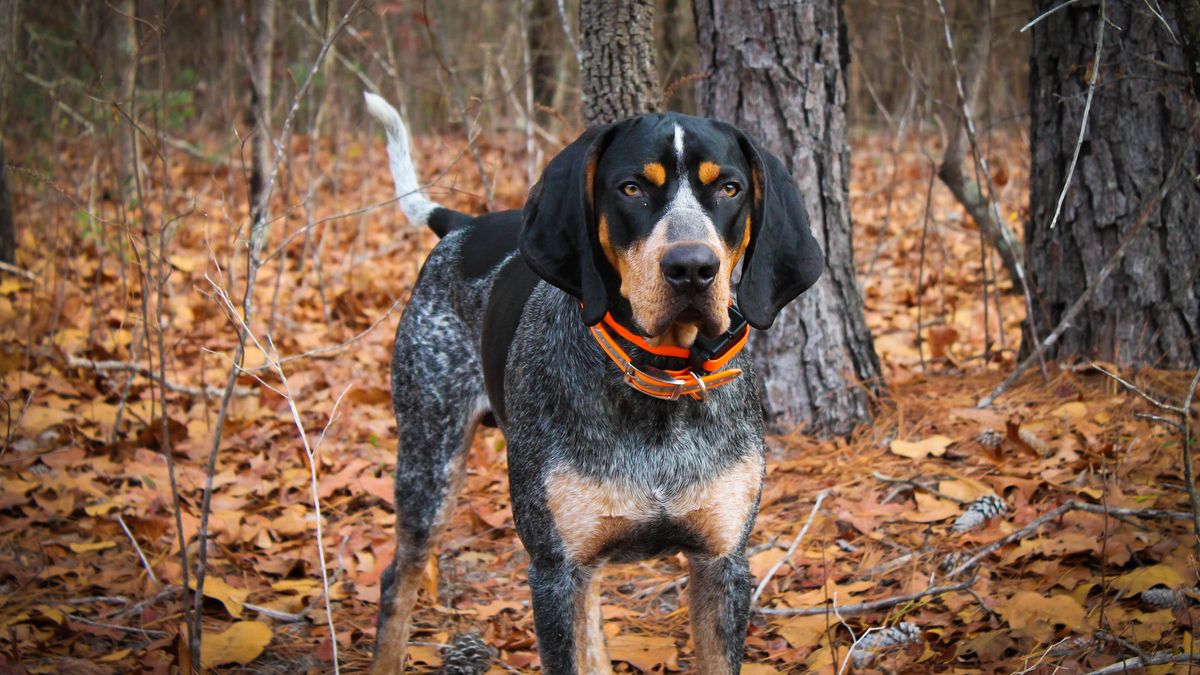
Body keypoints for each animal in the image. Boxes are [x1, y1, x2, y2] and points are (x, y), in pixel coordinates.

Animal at [360, 90, 820, 672]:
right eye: (632, 188)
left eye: (730, 189)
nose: (692, 267)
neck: (661, 382)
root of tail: (464, 226)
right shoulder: (554, 572)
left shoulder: (722, 564)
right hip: (429, 464)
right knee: (398, 581)